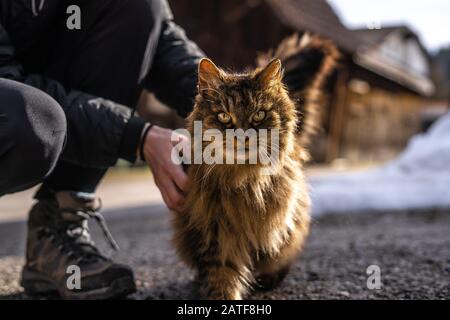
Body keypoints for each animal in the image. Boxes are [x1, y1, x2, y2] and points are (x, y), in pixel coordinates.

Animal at [174, 33, 340, 298]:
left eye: (259, 115)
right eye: (224, 116)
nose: (243, 136)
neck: (244, 180)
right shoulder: (215, 234)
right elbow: (222, 278)